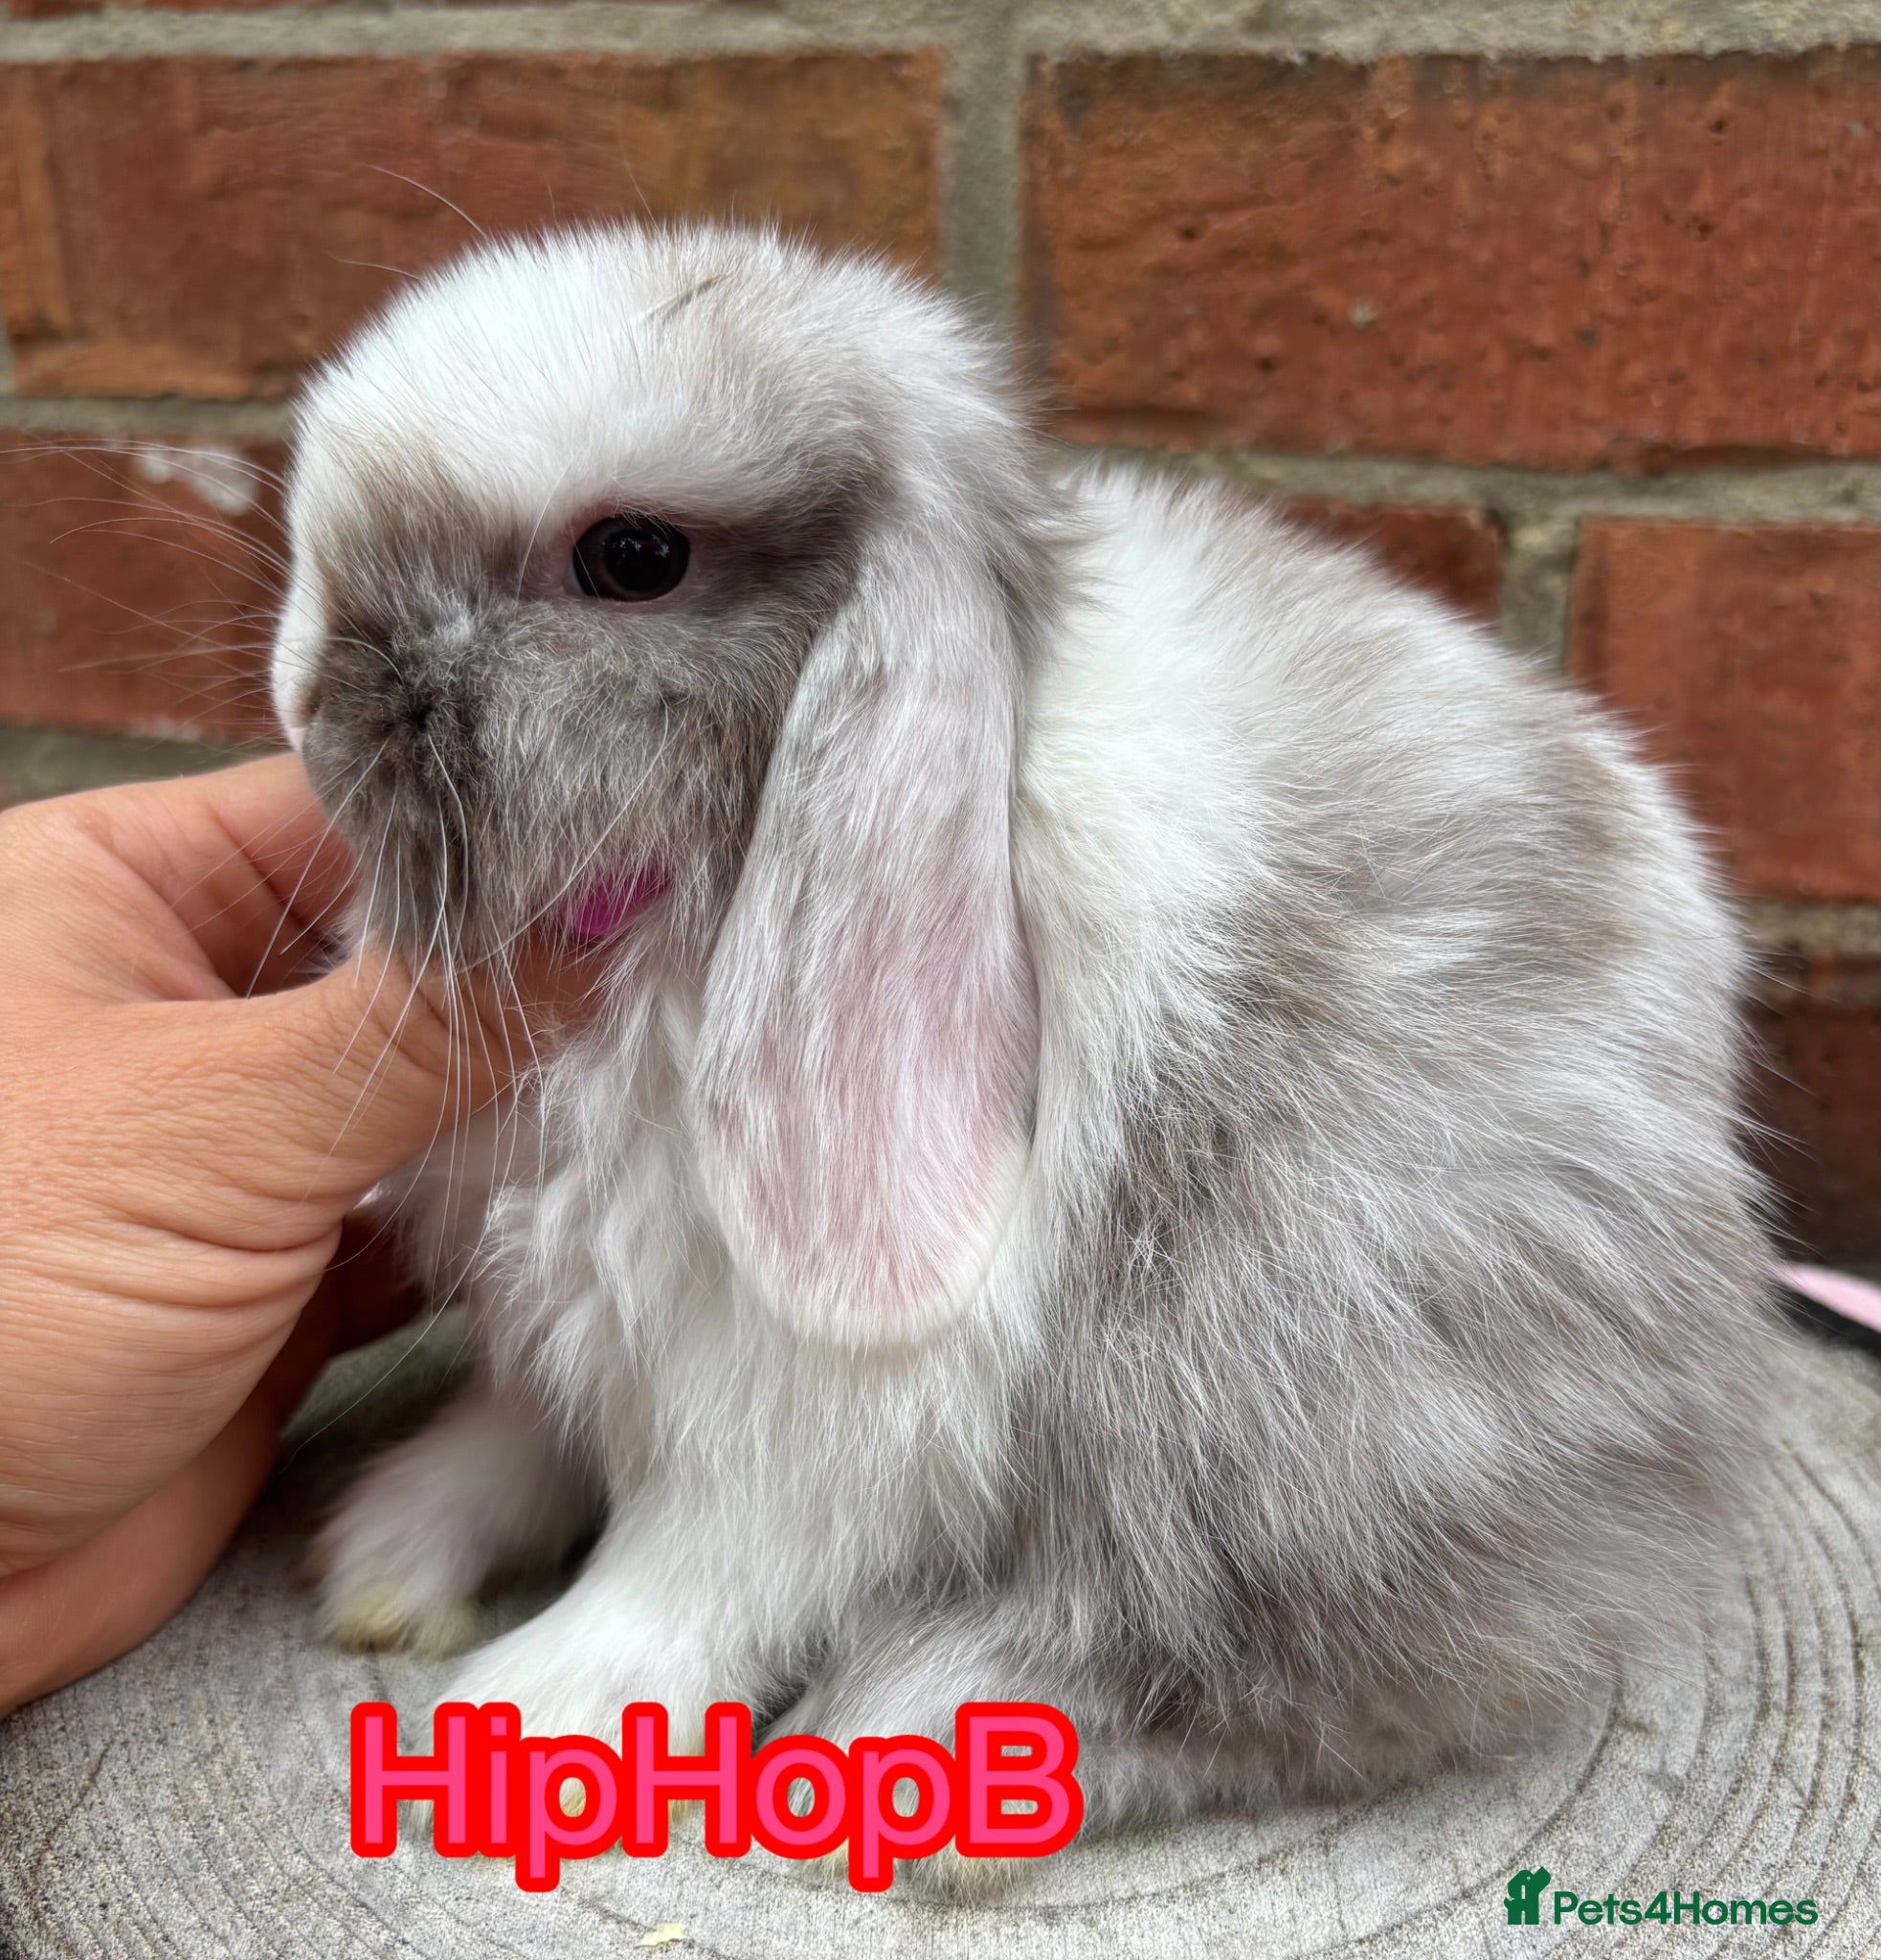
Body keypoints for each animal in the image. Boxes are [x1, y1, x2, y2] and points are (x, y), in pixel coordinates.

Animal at [277, 221, 1776, 1883]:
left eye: (634, 559)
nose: (304, 697)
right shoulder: (581, 1307)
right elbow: (524, 1427)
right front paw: (389, 1553)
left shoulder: (822, 1394)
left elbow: (700, 1562)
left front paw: (528, 1716)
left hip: (1281, 1387)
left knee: (1269, 1669)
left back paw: (922, 1734)